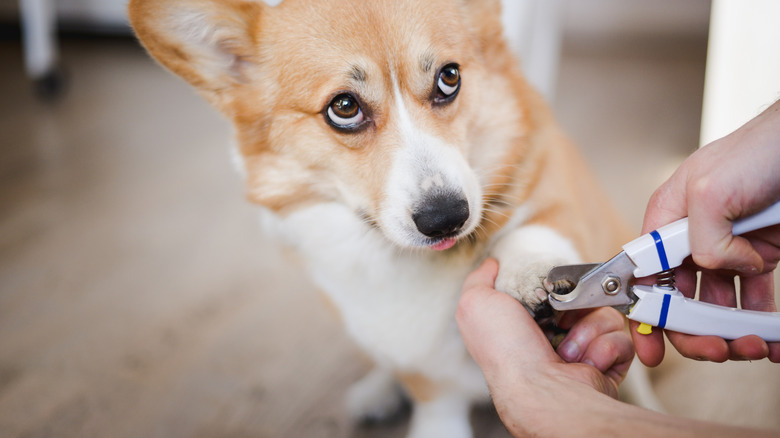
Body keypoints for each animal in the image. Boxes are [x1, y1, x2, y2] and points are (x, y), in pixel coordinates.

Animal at [129, 1, 632, 436]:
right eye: (344, 107)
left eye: (449, 78)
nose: (447, 218)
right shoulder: (415, 362)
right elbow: (433, 402)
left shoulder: (559, 192)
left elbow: (537, 227)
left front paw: (527, 273)